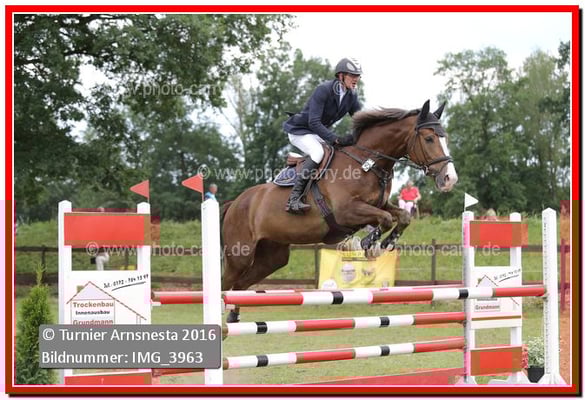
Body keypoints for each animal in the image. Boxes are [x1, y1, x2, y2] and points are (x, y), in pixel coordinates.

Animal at [221, 100, 458, 322]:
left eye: (445, 138)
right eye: (429, 139)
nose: (450, 179)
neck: (367, 163)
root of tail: (235, 203)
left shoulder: (378, 205)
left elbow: (402, 216)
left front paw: (384, 243)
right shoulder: (346, 212)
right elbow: (385, 219)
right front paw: (368, 244)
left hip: (272, 256)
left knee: (241, 284)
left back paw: (233, 317)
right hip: (240, 254)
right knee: (227, 281)